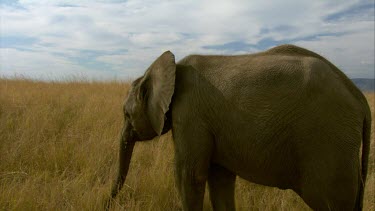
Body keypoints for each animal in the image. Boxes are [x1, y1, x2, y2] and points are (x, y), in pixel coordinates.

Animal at [107, 45, 372, 211]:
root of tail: (359, 98)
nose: (106, 203)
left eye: (126, 115)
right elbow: (220, 178)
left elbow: (189, 176)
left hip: (329, 145)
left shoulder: (191, 115)